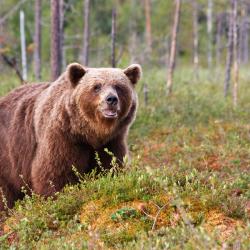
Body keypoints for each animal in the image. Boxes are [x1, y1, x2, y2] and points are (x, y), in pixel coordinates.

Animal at [0, 62, 141, 209]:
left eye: (118, 86)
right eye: (97, 86)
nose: (111, 99)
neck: (90, 133)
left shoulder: (111, 141)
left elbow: (111, 166)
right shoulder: (63, 138)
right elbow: (55, 172)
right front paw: (57, 197)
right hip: (8, 156)